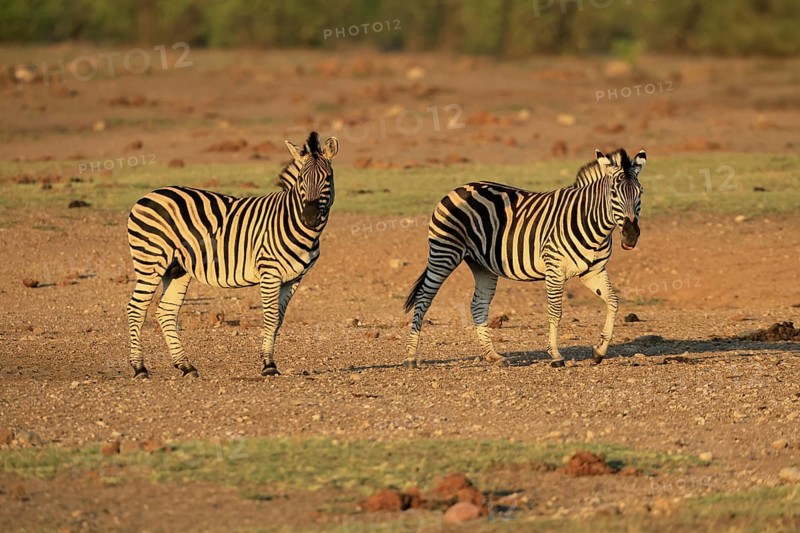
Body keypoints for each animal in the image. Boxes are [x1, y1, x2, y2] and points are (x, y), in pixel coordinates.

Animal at [126, 131, 338, 378]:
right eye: (301, 180)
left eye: (328, 178)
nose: (310, 217)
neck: (291, 220)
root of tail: (148, 195)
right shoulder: (269, 272)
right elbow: (270, 317)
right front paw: (268, 364)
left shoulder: (295, 278)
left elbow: (278, 319)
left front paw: (269, 360)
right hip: (150, 261)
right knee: (136, 309)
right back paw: (139, 367)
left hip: (177, 269)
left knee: (166, 312)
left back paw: (185, 366)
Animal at [403, 148, 646, 368]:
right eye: (613, 194)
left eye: (641, 192)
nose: (631, 236)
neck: (592, 223)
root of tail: (459, 188)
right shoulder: (554, 269)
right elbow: (555, 312)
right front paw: (556, 356)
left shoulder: (593, 271)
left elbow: (613, 301)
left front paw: (599, 351)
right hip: (444, 252)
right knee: (424, 297)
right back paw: (411, 358)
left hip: (482, 265)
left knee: (478, 305)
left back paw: (493, 356)